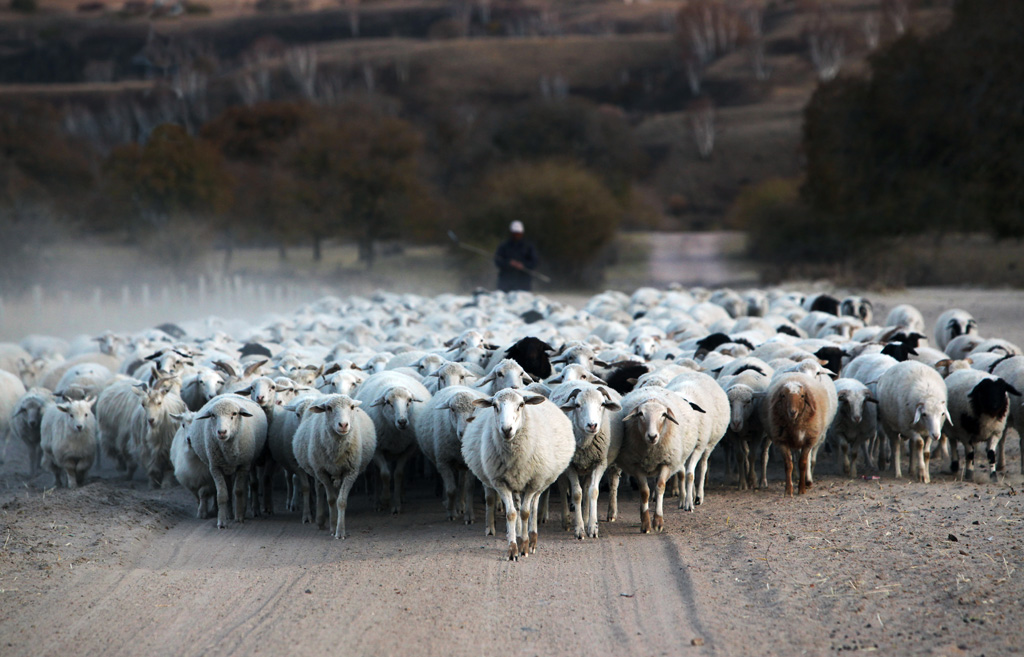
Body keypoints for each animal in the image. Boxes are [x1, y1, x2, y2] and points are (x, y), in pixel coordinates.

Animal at [292, 392, 376, 536]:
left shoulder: (351, 472)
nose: (343, 425)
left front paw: (340, 530)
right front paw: (332, 526)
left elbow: (341, 501)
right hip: (316, 467)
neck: (338, 448)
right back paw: (320, 520)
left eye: (352, 407)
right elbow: (331, 500)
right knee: (319, 489)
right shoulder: (322, 472)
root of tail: (331, 394)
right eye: (329, 408)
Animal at [464, 388, 577, 556]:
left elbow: (525, 512)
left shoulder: (533, 482)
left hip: (542, 481)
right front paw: (513, 548)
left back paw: (532, 538)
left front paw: (524, 545)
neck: (514, 455)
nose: (506, 429)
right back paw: (518, 533)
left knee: (534, 506)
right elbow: (511, 513)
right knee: (517, 505)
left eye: (521, 405)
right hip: (516, 481)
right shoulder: (500, 482)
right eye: (494, 406)